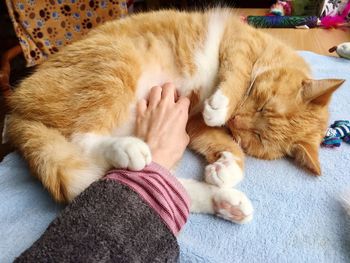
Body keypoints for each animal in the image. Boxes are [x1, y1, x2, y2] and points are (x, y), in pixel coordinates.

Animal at [6, 9, 344, 225]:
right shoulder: (239, 42)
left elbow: (226, 146)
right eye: (262, 105)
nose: (235, 121)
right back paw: (127, 148)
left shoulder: (191, 123)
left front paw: (226, 168)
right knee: (83, 138)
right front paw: (222, 104)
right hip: (117, 64)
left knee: (155, 184)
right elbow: (236, 73)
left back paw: (225, 202)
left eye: (257, 136)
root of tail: (16, 106)